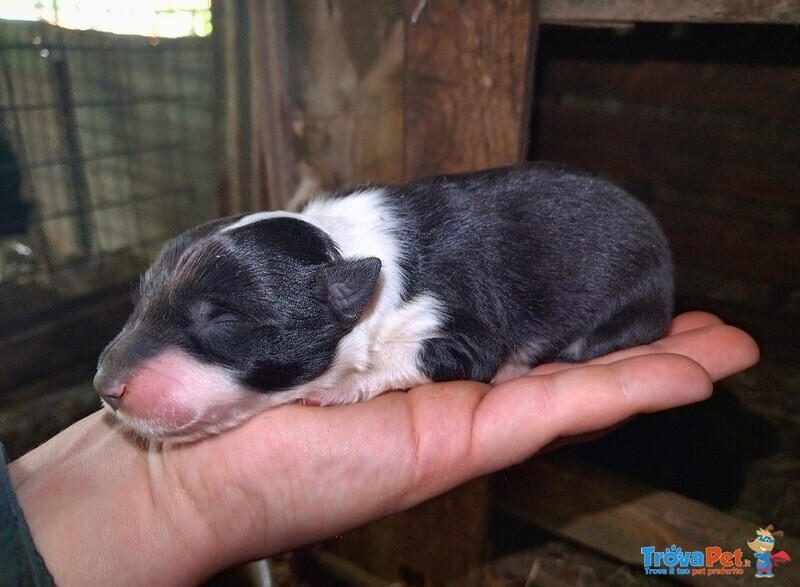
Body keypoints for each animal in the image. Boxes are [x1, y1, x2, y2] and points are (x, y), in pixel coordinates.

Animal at [97, 162, 680, 440]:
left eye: (222, 319)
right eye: (140, 299)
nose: (105, 388)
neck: (340, 247)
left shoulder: (460, 310)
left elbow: (445, 355)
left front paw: (339, 387)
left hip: (633, 305)